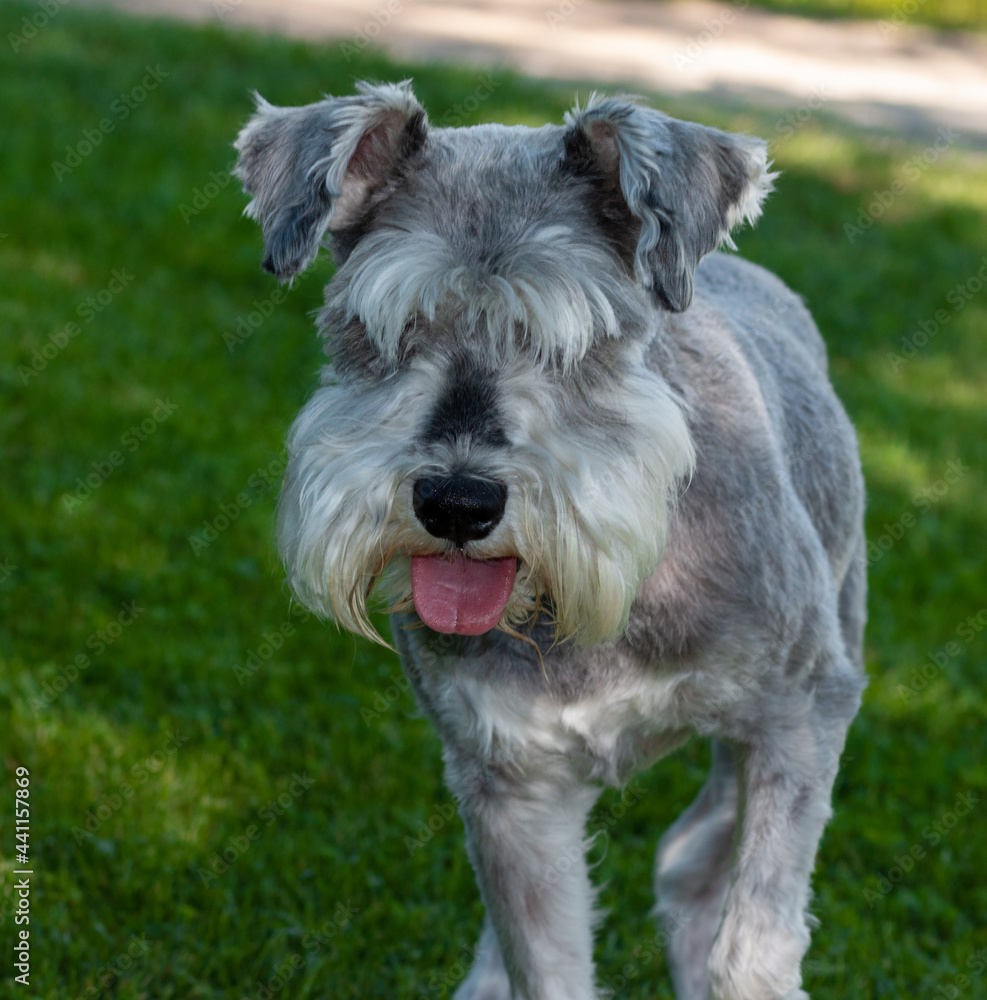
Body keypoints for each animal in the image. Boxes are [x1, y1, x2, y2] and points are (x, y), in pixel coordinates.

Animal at [232, 80, 864, 1000]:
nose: (457, 503)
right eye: (390, 330)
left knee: (691, 856)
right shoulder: (510, 783)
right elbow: (543, 957)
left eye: (570, 342)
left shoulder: (799, 713)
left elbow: (752, 946)